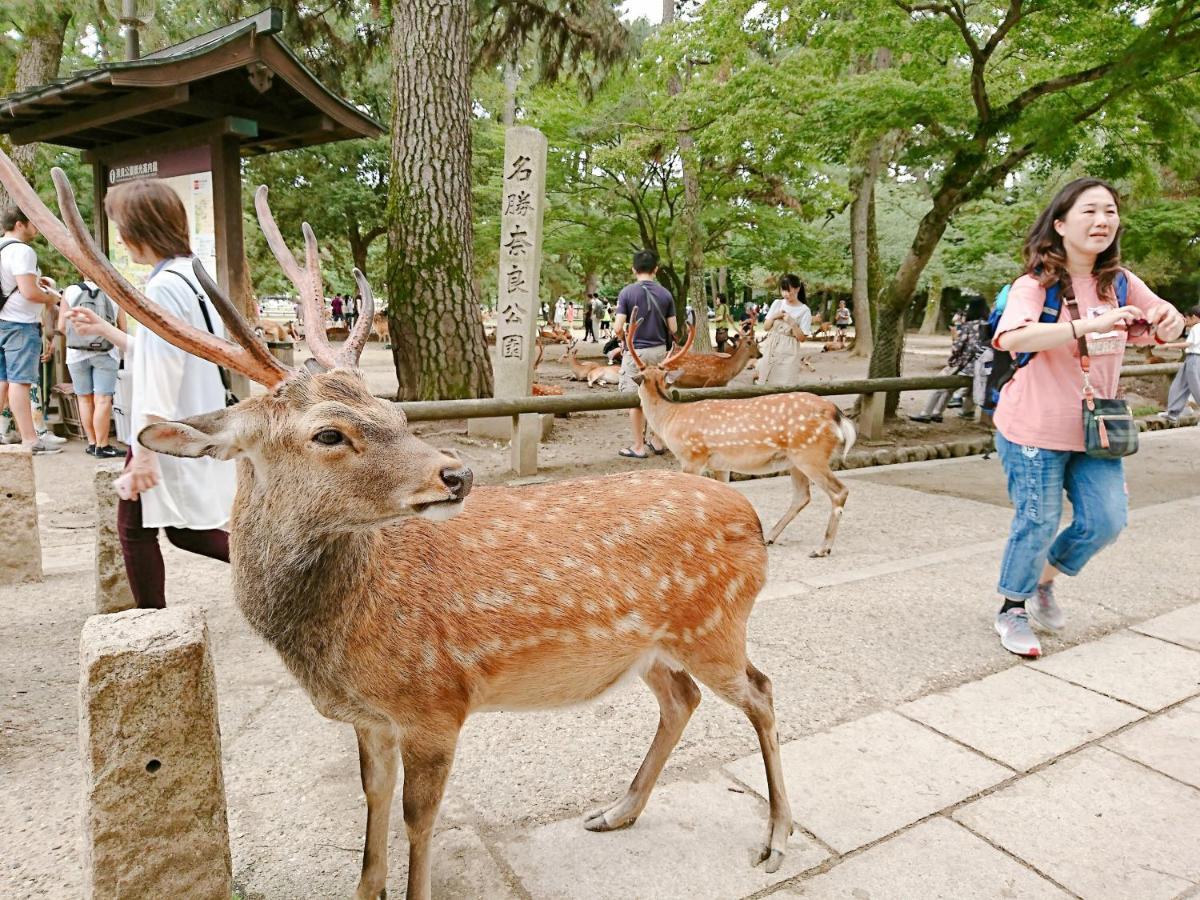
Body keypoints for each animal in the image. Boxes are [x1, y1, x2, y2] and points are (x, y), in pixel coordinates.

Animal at [2, 154, 796, 900]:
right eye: (330, 432)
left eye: (392, 411)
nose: (458, 475)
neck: (342, 643)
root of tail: (749, 518)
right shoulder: (371, 718)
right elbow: (373, 800)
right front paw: (365, 886)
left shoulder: (435, 703)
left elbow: (420, 818)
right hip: (655, 645)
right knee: (681, 699)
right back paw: (619, 810)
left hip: (714, 625)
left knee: (760, 690)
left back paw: (777, 836)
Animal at [628, 314, 854, 556]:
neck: (670, 417)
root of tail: (837, 414)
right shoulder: (721, 464)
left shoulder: (692, 456)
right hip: (795, 460)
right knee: (802, 496)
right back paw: (770, 536)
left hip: (811, 454)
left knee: (839, 491)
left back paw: (823, 548)